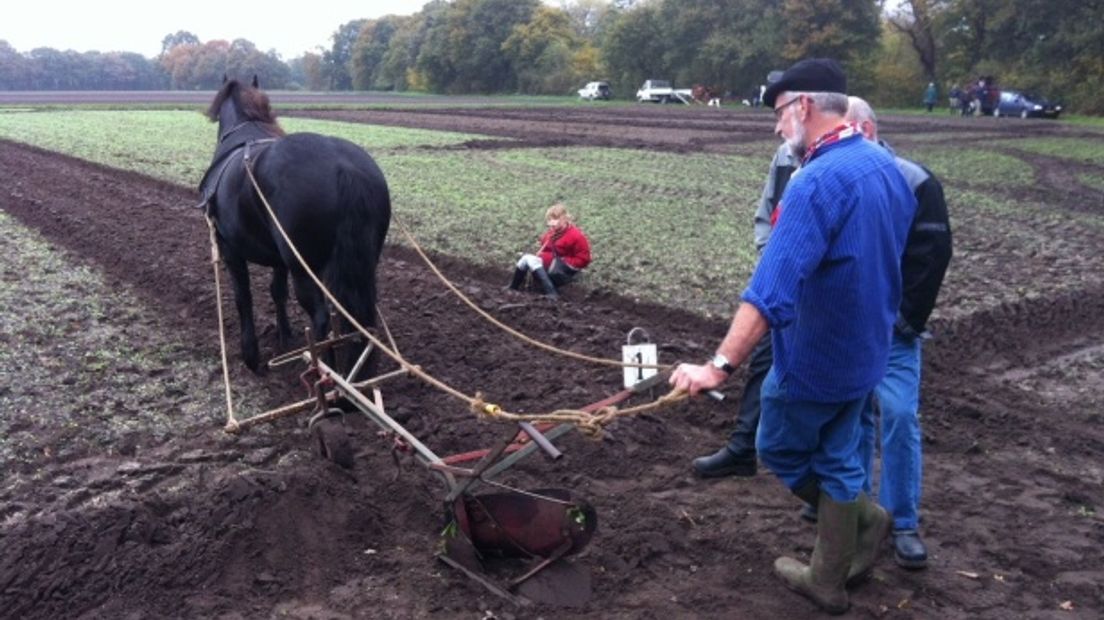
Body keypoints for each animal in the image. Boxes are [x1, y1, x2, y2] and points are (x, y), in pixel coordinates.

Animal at [200, 75, 390, 368]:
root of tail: (343, 167)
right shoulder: (279, 258)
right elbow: (277, 291)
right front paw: (285, 335)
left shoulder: (231, 250)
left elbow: (243, 298)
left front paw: (251, 355)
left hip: (303, 268)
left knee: (322, 318)